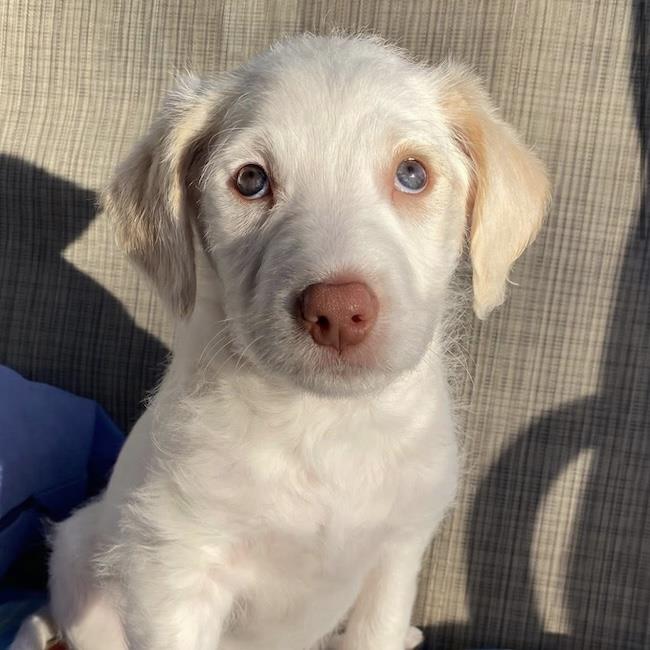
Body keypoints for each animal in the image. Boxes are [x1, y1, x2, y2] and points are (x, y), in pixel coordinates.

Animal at [11, 33, 549, 650]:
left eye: (412, 174)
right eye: (251, 180)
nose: (337, 311)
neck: (325, 425)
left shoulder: (396, 555)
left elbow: (378, 631)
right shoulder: (171, 573)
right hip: (81, 564)